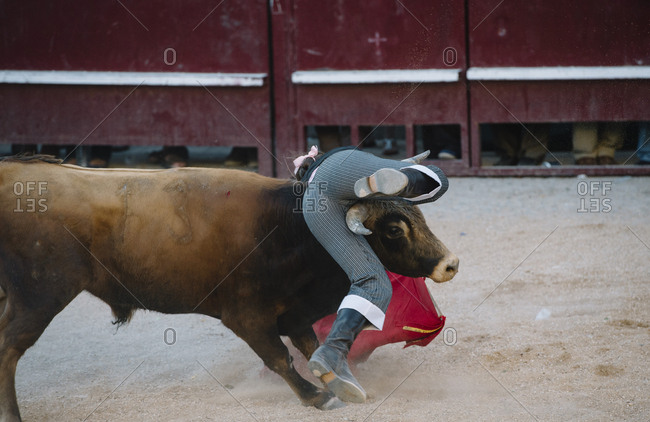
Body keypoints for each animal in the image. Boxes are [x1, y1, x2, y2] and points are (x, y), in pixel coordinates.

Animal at [0, 155, 456, 418]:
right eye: (394, 229)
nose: (450, 264)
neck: (291, 229)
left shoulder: (294, 314)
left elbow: (310, 347)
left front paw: (336, 384)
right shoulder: (247, 316)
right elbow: (279, 359)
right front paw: (317, 396)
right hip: (40, 295)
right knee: (8, 349)